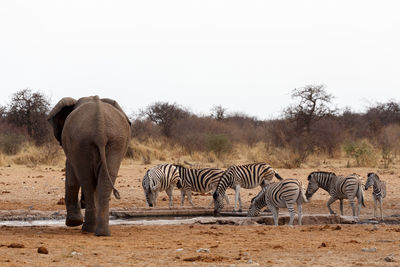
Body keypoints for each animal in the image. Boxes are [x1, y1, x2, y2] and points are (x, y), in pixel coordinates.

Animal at [47, 96, 130, 237]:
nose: (83, 203)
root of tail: (100, 126)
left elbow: (71, 174)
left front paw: (73, 223)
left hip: (84, 142)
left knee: (87, 182)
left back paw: (88, 229)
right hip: (113, 142)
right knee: (102, 182)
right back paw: (101, 232)